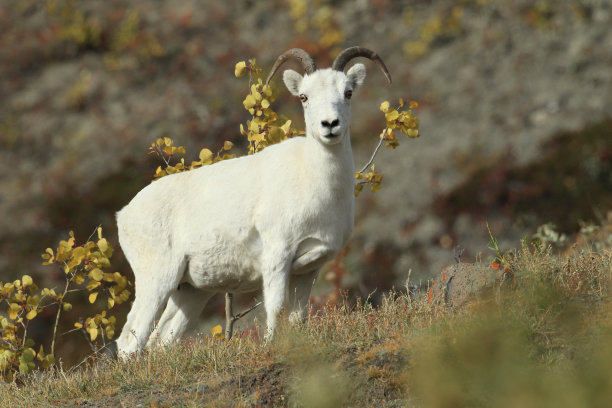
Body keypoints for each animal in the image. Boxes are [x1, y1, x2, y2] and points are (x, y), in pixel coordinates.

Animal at [115, 46, 392, 356]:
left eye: (348, 92)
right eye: (304, 97)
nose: (330, 125)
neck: (315, 182)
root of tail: (124, 215)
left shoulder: (308, 270)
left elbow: (298, 317)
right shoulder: (278, 258)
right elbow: (275, 308)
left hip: (190, 293)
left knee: (160, 340)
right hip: (157, 281)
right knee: (129, 341)